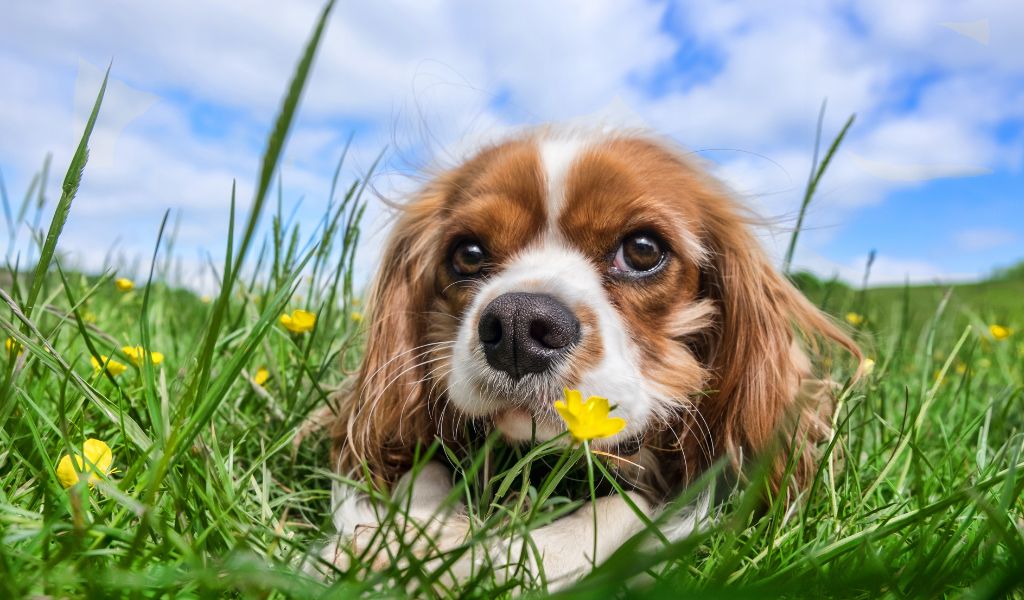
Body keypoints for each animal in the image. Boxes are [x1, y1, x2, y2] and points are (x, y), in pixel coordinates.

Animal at [315, 127, 860, 589]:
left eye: (643, 249)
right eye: (467, 253)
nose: (518, 325)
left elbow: (617, 513)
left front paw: (463, 560)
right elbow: (419, 471)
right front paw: (398, 538)